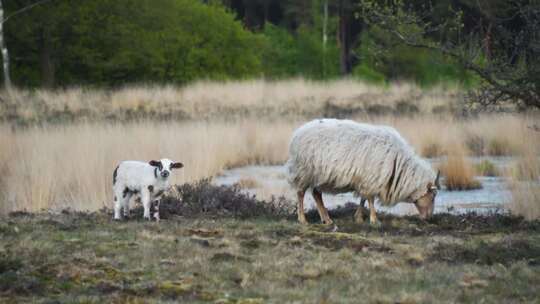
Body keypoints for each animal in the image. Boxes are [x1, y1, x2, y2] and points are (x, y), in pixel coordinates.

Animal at [286, 119, 438, 226]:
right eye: (433, 196)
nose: (430, 218)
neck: (399, 164)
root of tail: (296, 134)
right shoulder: (371, 178)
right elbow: (370, 199)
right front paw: (374, 219)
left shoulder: (366, 179)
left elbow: (364, 198)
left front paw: (358, 217)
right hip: (304, 171)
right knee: (300, 193)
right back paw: (303, 219)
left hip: (319, 175)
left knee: (316, 194)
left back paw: (326, 219)